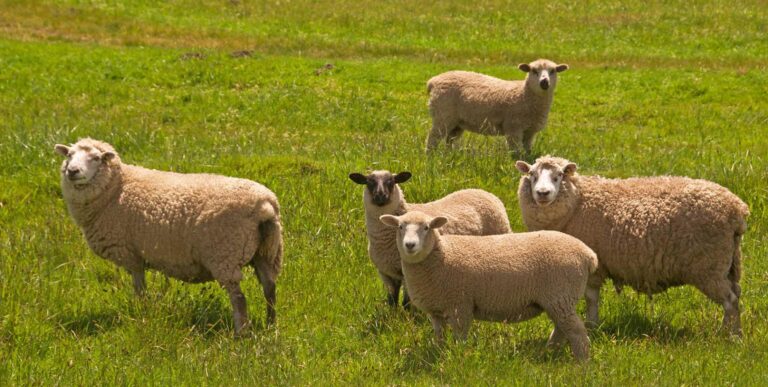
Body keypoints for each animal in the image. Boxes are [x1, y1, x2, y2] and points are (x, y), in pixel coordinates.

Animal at [54, 139, 282, 336]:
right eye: (70, 155)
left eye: (95, 158)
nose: (72, 171)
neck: (117, 188)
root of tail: (264, 205)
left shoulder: (131, 255)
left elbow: (139, 290)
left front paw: (141, 314)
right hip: (267, 252)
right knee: (270, 289)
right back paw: (270, 326)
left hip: (225, 254)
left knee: (239, 299)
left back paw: (241, 333)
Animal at [348, 170, 510, 310]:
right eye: (369, 182)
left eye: (391, 182)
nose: (380, 196)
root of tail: (484, 192)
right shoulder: (385, 272)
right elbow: (392, 300)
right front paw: (392, 316)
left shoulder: (407, 272)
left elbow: (406, 303)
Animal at [380, 211, 596, 362]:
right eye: (400, 227)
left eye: (426, 227)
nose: (410, 245)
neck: (442, 255)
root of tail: (588, 254)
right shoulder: (436, 309)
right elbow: (439, 334)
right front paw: (439, 351)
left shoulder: (460, 305)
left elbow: (460, 336)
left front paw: (459, 357)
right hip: (558, 300)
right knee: (562, 328)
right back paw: (548, 352)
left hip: (560, 295)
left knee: (576, 331)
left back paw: (582, 363)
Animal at [426, 58, 568, 154]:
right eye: (533, 70)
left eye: (553, 71)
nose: (544, 82)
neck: (524, 94)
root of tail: (433, 81)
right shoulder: (513, 128)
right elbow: (515, 152)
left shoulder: (530, 131)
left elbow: (527, 151)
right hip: (443, 115)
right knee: (432, 139)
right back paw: (431, 158)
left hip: (457, 122)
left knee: (449, 140)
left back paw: (449, 156)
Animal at [516, 157, 752, 336]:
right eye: (532, 175)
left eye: (558, 176)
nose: (543, 193)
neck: (578, 201)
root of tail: (737, 210)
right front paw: (593, 326)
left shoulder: (593, 264)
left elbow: (591, 298)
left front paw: (592, 326)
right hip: (728, 263)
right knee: (736, 294)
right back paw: (733, 332)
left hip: (708, 265)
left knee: (730, 301)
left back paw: (731, 336)